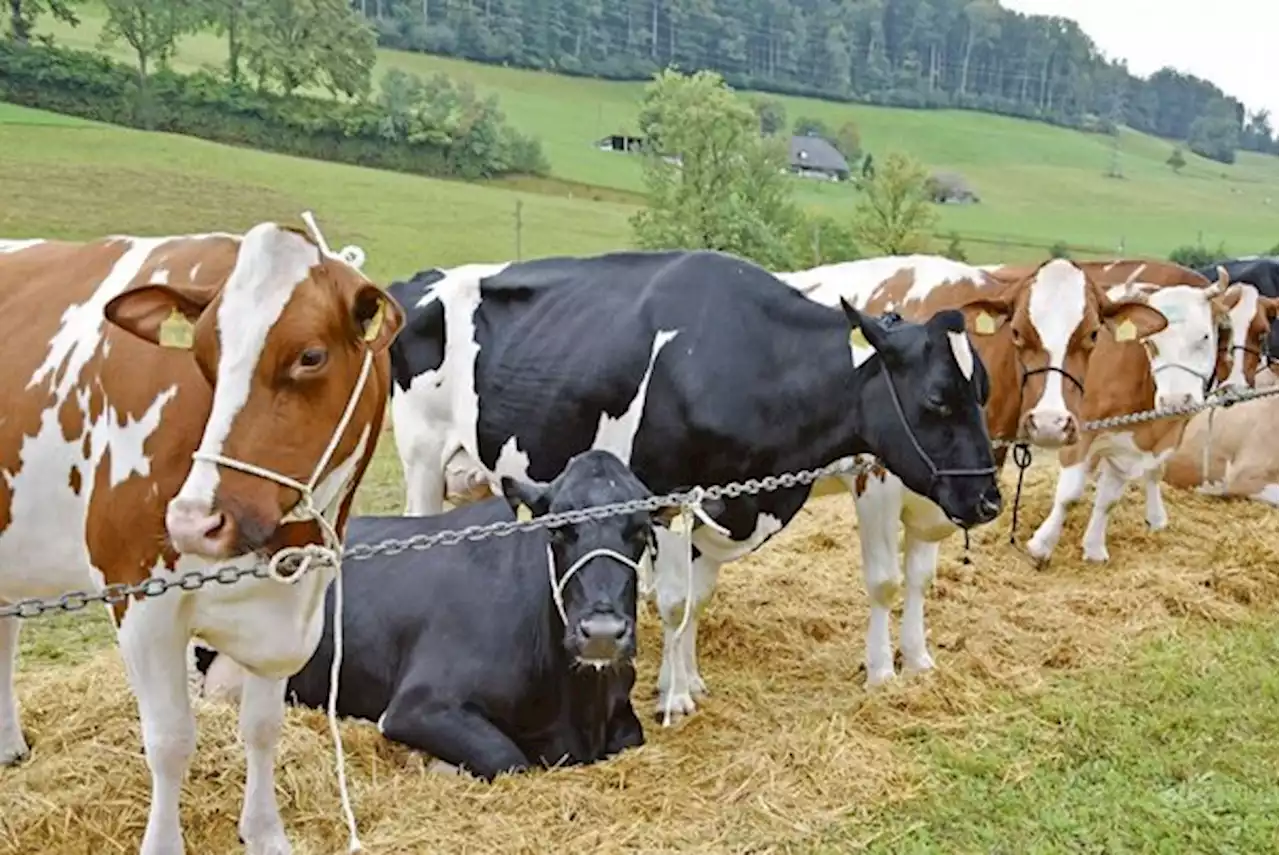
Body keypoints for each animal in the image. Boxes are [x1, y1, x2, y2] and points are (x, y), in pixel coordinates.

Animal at [0, 222, 404, 855]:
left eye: (311, 356)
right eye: (201, 356)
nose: (193, 521)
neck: (281, 546)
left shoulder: (294, 601)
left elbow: (262, 728)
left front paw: (264, 832)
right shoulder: (138, 593)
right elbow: (170, 741)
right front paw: (164, 843)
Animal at [194, 450, 727, 778]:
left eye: (641, 531)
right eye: (557, 529)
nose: (600, 633)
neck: (575, 707)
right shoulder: (417, 704)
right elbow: (506, 756)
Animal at [384, 245, 1003, 721]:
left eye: (983, 391)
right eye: (937, 399)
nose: (989, 499)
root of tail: (425, 278)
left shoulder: (716, 509)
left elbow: (696, 602)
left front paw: (685, 679)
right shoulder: (668, 497)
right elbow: (675, 601)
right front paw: (675, 699)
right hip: (422, 455)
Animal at [768, 253, 1172, 686]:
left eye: (1093, 334)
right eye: (1017, 331)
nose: (1049, 423)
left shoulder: (942, 496)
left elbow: (920, 577)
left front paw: (917, 660)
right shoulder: (874, 480)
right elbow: (884, 581)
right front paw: (880, 674)